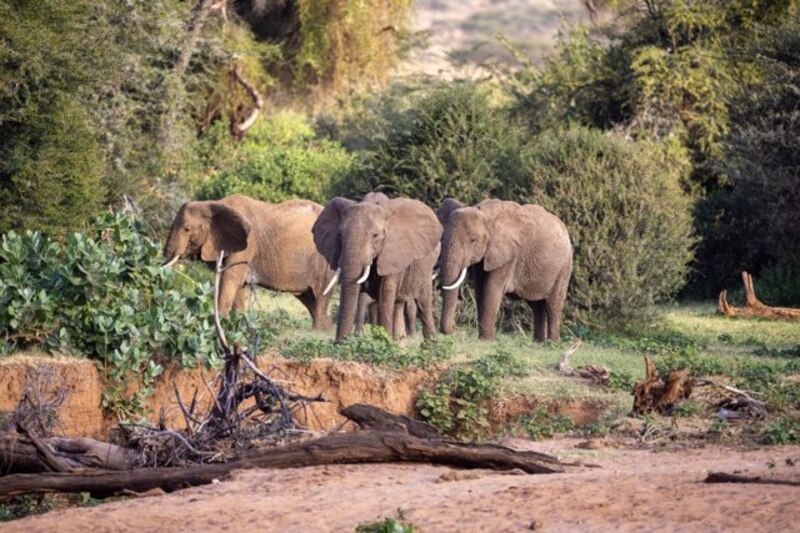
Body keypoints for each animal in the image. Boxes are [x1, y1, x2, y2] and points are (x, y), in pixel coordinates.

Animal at [162, 195, 334, 328]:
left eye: (187, 229)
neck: (213, 204)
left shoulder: (247, 245)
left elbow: (229, 281)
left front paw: (217, 324)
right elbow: (237, 287)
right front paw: (236, 324)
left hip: (325, 261)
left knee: (320, 300)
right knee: (311, 301)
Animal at [312, 193, 440, 338]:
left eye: (375, 235)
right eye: (339, 236)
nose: (339, 341)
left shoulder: (393, 255)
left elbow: (385, 295)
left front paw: (383, 338)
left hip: (426, 269)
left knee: (423, 304)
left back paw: (429, 342)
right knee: (398, 305)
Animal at [434, 196, 572, 340]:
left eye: (473, 240)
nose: (453, 331)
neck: (485, 214)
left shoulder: (508, 255)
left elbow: (491, 289)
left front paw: (486, 340)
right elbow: (480, 289)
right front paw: (484, 338)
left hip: (565, 266)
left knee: (553, 304)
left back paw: (553, 341)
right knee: (536, 305)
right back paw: (539, 342)